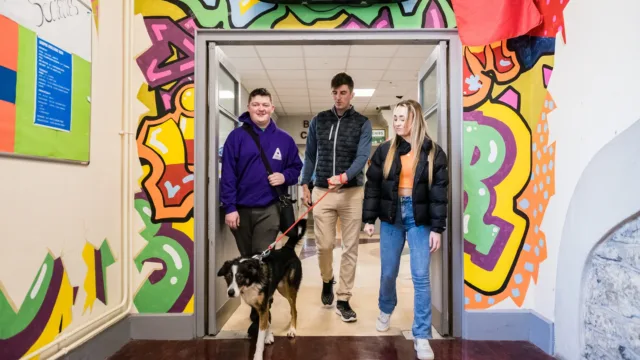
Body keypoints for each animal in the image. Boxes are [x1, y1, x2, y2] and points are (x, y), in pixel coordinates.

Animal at [218, 218, 308, 360]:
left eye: (240, 277)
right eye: (228, 277)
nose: (230, 293)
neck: (252, 281)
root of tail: (287, 248)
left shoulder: (262, 305)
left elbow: (260, 338)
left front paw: (258, 355)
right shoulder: (259, 305)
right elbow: (266, 321)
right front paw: (269, 335)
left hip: (288, 288)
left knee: (294, 309)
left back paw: (292, 329)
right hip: (280, 288)